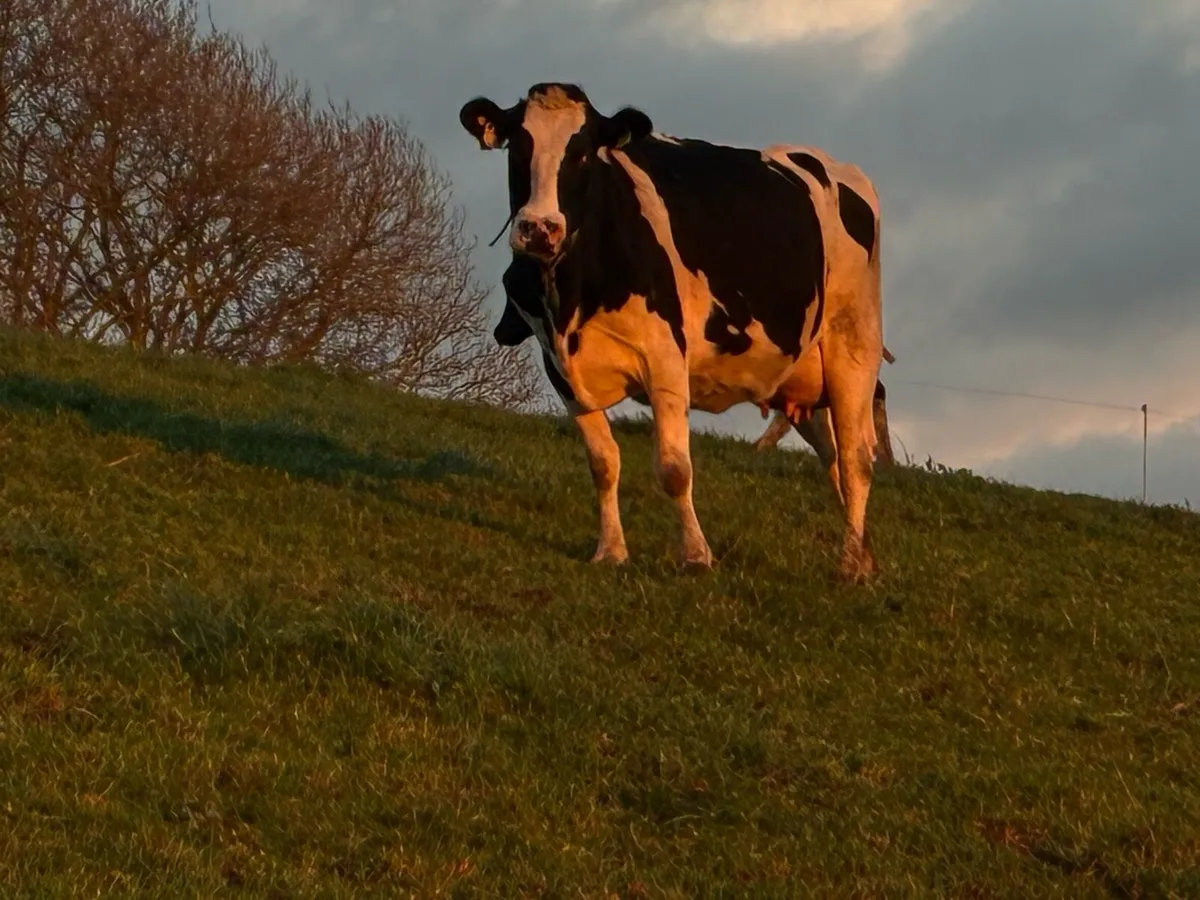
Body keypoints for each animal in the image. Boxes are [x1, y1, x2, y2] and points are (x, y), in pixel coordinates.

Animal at [460, 82, 885, 581]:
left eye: (582, 153)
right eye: (517, 148)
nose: (539, 228)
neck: (571, 298)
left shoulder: (664, 357)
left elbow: (674, 467)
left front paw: (696, 555)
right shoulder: (559, 368)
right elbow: (602, 463)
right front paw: (611, 550)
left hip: (853, 342)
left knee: (857, 459)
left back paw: (851, 564)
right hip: (804, 378)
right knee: (835, 458)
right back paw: (864, 555)